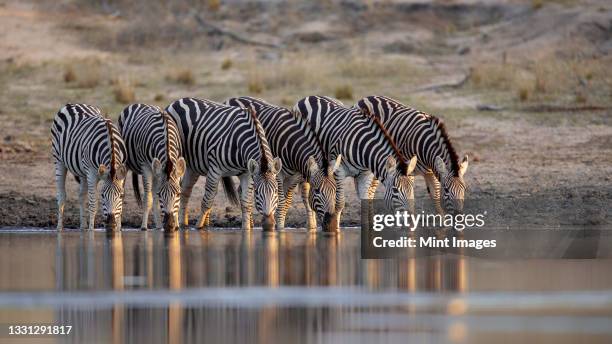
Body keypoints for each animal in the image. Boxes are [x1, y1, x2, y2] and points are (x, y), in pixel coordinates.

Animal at [52, 102, 128, 231]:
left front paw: (118, 229)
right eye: (102, 195)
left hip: (83, 171)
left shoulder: (122, 172)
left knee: (81, 196)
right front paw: (91, 231)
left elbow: (121, 208)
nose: (111, 224)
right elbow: (93, 204)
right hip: (59, 160)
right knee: (61, 196)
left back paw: (83, 227)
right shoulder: (92, 173)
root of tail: (73, 104)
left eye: (121, 195)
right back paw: (59, 228)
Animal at [117, 102, 186, 231]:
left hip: (156, 171)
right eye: (161, 195)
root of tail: (138, 103)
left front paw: (177, 225)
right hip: (126, 162)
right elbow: (148, 198)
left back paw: (158, 226)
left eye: (178, 194)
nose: (169, 225)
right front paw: (144, 227)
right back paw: (118, 226)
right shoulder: (146, 166)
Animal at [166, 97, 284, 231]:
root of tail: (179, 100)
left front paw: (246, 228)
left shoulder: (247, 173)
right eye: (257, 192)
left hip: (193, 166)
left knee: (185, 190)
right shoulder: (215, 169)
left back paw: (183, 223)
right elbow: (207, 200)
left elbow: (246, 203)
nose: (269, 225)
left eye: (276, 191)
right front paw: (198, 227)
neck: (240, 141)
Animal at [225, 96, 342, 231]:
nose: (332, 225)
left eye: (335, 190)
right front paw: (279, 228)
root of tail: (232, 98)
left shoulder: (294, 177)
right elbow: (281, 202)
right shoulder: (278, 175)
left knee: (241, 191)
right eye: (317, 191)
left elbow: (287, 202)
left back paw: (250, 224)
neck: (292, 144)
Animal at [294, 95, 418, 228]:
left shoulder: (366, 174)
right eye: (395, 191)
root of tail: (309, 97)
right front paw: (335, 229)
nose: (410, 221)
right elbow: (339, 203)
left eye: (412, 189)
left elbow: (365, 201)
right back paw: (311, 226)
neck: (362, 147)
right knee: (306, 193)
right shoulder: (339, 170)